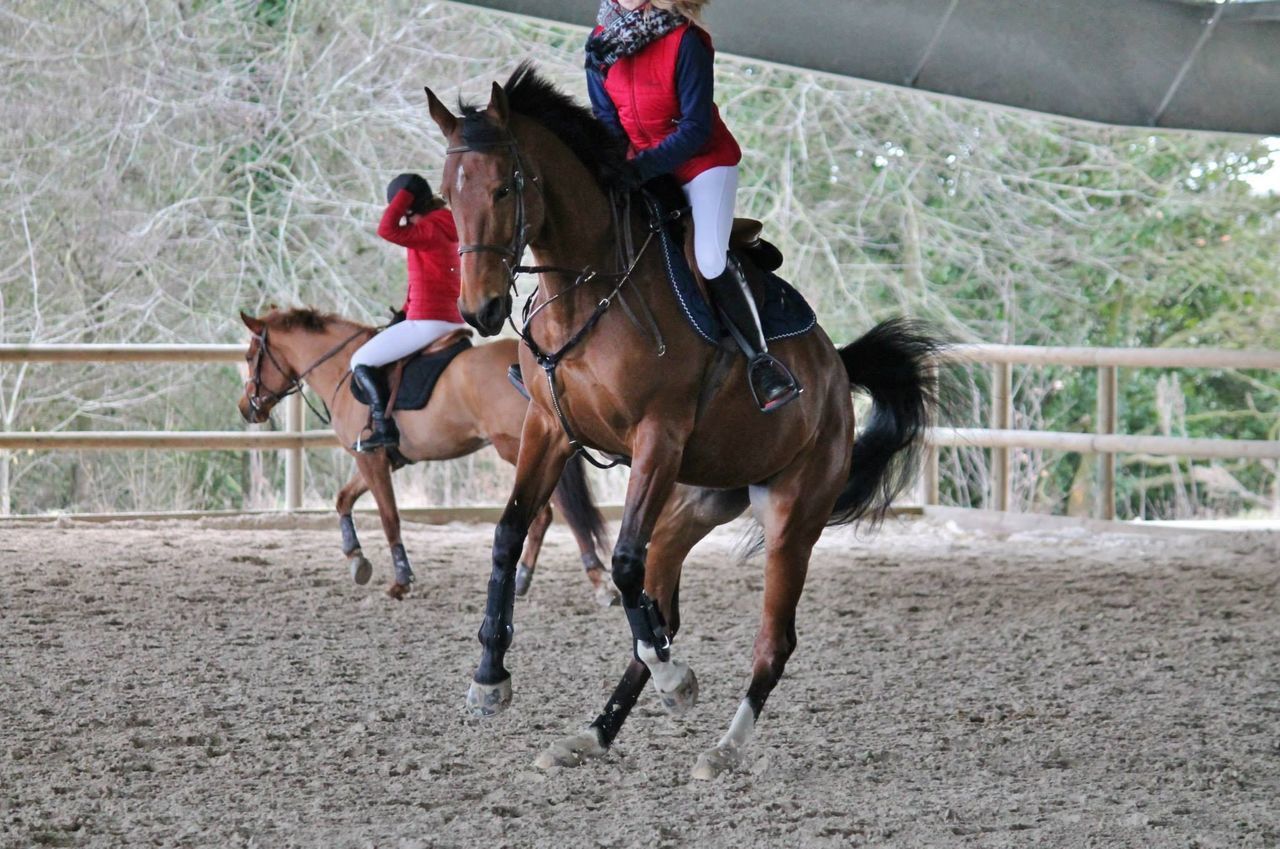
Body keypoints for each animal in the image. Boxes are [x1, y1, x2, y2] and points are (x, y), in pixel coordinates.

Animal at [240, 308, 619, 606]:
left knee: (560, 512)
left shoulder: (371, 459)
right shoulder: (379, 459)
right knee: (544, 515)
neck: (341, 370)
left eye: (249, 357)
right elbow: (343, 499)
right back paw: (525, 578)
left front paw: (400, 580)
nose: (246, 408)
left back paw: (599, 581)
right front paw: (356, 559)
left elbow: (389, 517)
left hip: (518, 447)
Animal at [427, 68, 942, 778]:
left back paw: (723, 747)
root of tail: (835, 369)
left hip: (791, 516)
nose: (480, 309)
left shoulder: (657, 439)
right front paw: (489, 679)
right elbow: (509, 536)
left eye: (506, 186)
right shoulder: (547, 430)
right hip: (691, 503)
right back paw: (593, 733)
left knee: (772, 639)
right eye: (448, 195)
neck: (588, 289)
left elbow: (621, 564)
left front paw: (679, 682)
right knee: (661, 603)